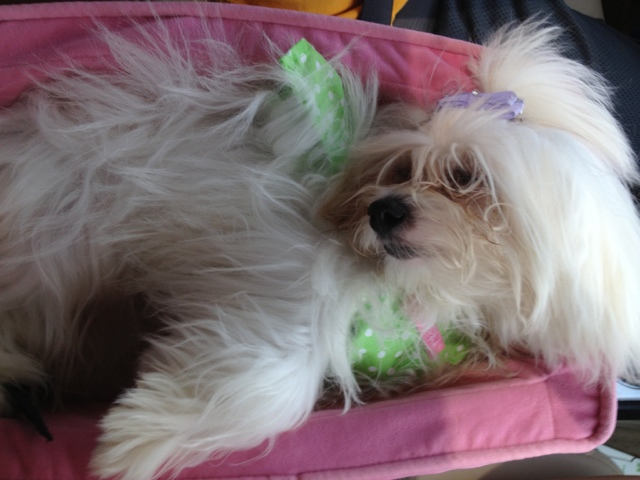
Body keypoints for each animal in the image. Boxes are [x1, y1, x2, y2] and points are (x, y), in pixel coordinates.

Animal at [0, 19, 638, 480]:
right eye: (398, 169)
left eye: (466, 177)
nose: (383, 210)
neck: (408, 290)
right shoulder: (287, 274)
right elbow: (285, 377)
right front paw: (136, 439)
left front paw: (140, 432)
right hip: (48, 249)